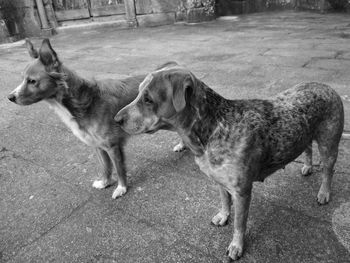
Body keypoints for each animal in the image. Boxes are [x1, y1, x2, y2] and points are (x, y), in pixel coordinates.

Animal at [6, 38, 185, 200]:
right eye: (23, 79)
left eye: (32, 81)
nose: (10, 97)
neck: (85, 101)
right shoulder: (98, 146)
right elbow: (105, 167)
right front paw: (105, 182)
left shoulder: (113, 146)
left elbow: (119, 169)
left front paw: (121, 188)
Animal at [114, 65, 344, 262]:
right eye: (138, 93)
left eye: (148, 99)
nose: (116, 119)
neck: (213, 128)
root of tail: (328, 87)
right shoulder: (219, 181)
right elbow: (225, 203)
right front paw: (223, 216)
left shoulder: (242, 192)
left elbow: (239, 224)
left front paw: (236, 246)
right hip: (305, 134)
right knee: (307, 148)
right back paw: (307, 166)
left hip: (329, 143)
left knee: (329, 170)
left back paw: (324, 193)